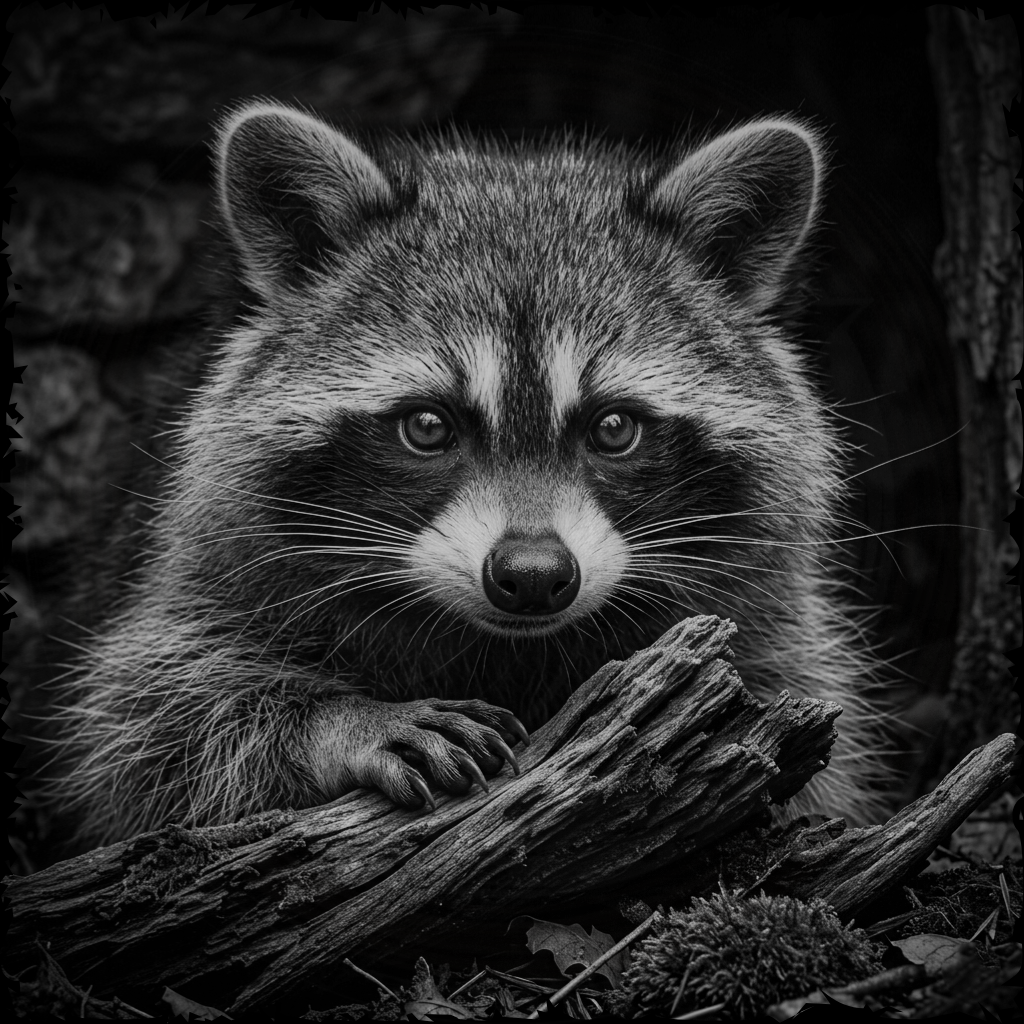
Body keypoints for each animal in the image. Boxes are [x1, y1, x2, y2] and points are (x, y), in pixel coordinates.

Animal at [41, 101, 890, 851]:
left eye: (614, 428)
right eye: (427, 426)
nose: (534, 575)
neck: (501, 644)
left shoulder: (767, 620)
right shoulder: (207, 563)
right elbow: (147, 727)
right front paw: (338, 722)